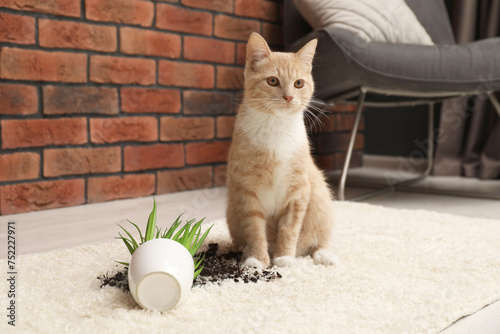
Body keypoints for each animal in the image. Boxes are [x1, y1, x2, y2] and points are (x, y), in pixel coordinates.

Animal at [226, 33, 336, 268]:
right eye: (272, 81)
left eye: (298, 83)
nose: (288, 97)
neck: (276, 126)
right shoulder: (246, 190)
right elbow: (254, 228)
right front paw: (257, 260)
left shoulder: (298, 191)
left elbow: (289, 228)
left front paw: (284, 258)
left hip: (321, 202)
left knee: (318, 242)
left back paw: (324, 255)